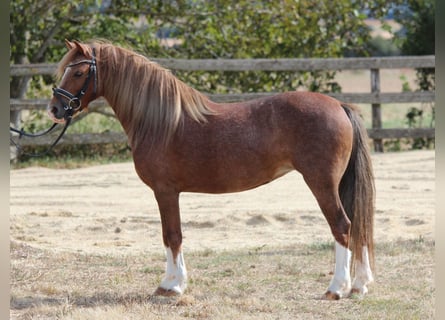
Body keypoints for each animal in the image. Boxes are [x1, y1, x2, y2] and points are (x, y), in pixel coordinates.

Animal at [49, 40, 374, 300]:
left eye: (78, 73)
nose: (54, 109)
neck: (160, 121)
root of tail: (340, 106)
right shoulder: (168, 193)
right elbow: (171, 235)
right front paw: (173, 283)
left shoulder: (165, 192)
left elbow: (172, 235)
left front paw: (171, 286)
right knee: (356, 224)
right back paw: (359, 286)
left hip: (321, 182)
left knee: (342, 226)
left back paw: (336, 288)